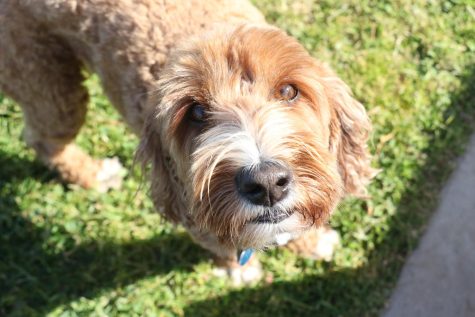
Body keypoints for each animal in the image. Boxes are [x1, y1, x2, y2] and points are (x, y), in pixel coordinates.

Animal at [0, 0, 374, 284]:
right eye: (196, 112)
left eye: (288, 91)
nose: (267, 183)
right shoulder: (196, 217)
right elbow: (224, 249)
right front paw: (240, 271)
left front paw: (312, 241)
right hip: (45, 80)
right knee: (42, 139)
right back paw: (92, 175)